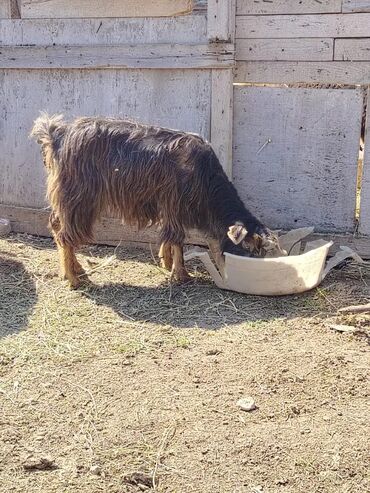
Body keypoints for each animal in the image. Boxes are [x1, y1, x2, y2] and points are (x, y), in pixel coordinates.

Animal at [31, 113, 282, 286]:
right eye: (251, 249)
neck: (205, 176)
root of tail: (57, 135)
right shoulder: (175, 204)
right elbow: (177, 238)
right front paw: (182, 274)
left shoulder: (167, 207)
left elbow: (168, 236)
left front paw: (167, 263)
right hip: (78, 200)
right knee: (65, 236)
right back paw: (75, 279)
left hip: (65, 201)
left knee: (57, 227)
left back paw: (75, 271)